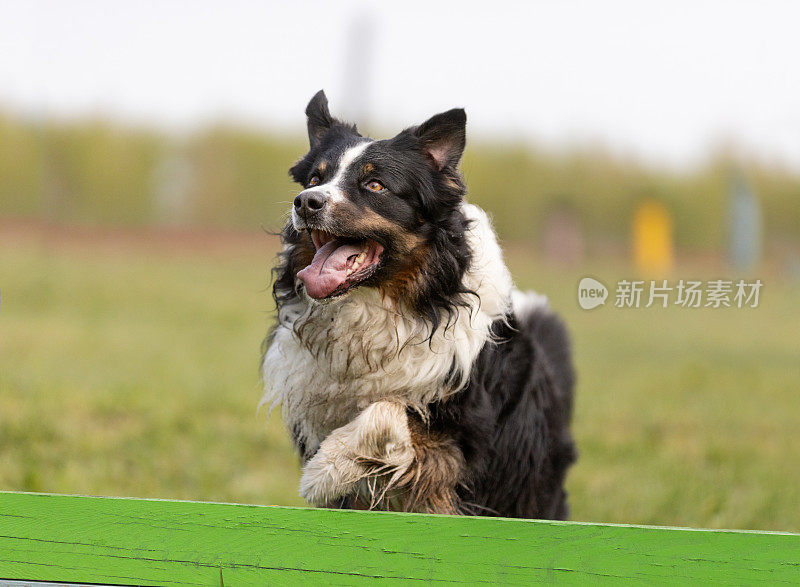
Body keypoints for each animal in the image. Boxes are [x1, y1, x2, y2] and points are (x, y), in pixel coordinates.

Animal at [262, 90, 576, 520]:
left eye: (374, 184)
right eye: (315, 179)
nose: (305, 202)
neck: (380, 306)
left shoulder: (463, 437)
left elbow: (389, 409)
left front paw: (327, 469)